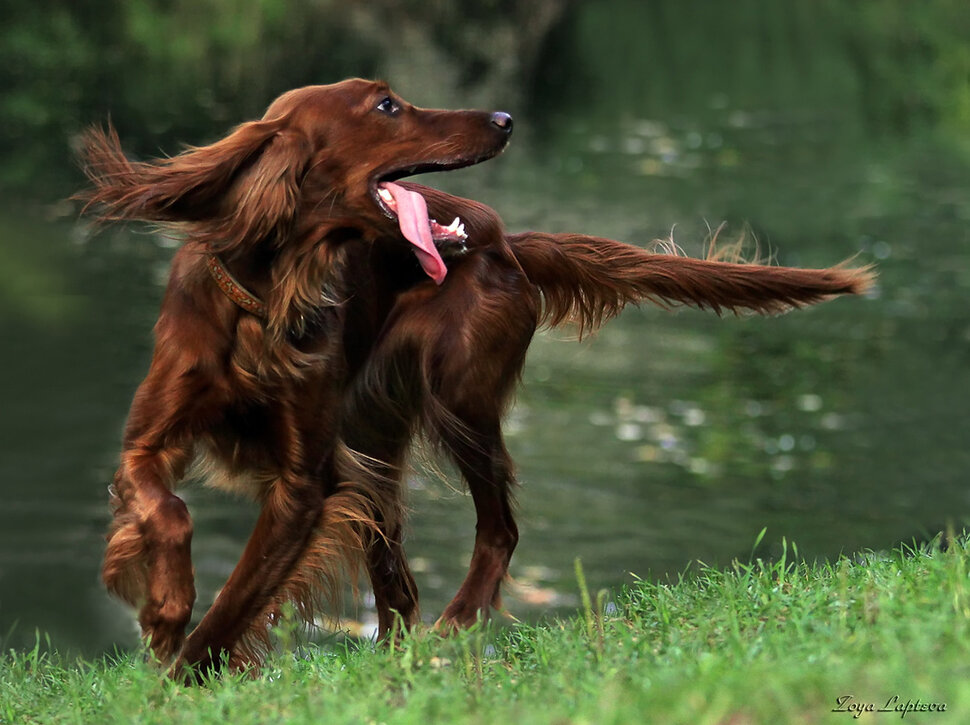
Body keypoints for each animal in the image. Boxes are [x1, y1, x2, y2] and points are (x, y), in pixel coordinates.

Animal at [79, 79, 872, 680]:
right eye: (386, 105)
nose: (504, 119)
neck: (269, 294)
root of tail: (503, 238)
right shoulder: (150, 441)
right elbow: (166, 509)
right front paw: (165, 609)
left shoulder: (305, 483)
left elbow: (242, 594)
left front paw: (186, 663)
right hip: (375, 441)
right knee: (399, 575)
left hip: (458, 399)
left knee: (499, 527)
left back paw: (455, 624)